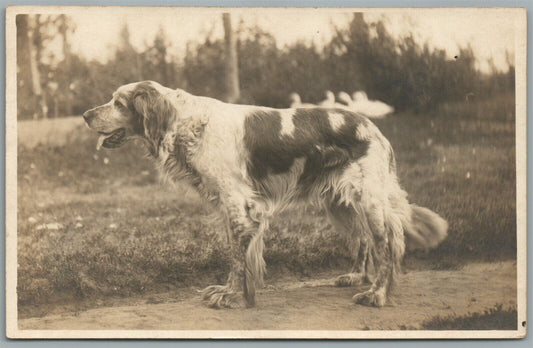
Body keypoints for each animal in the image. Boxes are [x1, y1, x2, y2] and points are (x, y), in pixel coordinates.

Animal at [83, 81, 446, 308]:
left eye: (118, 102)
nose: (86, 115)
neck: (189, 124)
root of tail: (375, 129)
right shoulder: (231, 207)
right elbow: (241, 255)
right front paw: (238, 293)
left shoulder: (238, 203)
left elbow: (236, 257)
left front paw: (229, 295)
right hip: (342, 203)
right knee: (365, 240)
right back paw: (357, 277)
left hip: (367, 200)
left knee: (387, 243)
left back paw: (377, 294)